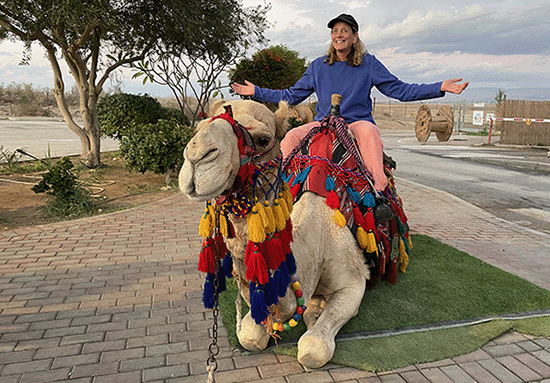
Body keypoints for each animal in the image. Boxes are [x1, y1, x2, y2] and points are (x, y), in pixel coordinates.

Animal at [181, 99, 406, 368]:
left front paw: (315, 315)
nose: (196, 158)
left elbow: (313, 348)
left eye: (263, 139)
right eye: (198, 127)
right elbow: (249, 335)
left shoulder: (353, 282)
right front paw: (312, 310)